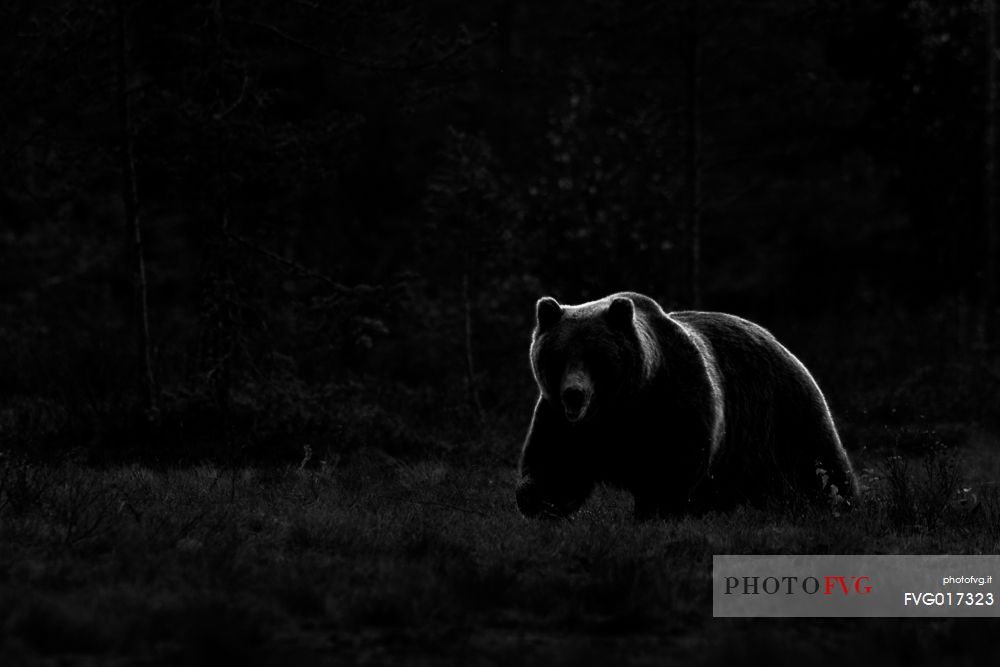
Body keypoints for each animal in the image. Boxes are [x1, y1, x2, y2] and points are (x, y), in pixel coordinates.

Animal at [516, 294, 860, 520]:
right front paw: (538, 501)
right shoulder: (563, 421)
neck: (619, 408)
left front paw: (655, 510)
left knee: (820, 466)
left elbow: (674, 461)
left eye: (596, 357)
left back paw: (842, 504)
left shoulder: (674, 396)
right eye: (558, 357)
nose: (574, 394)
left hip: (784, 413)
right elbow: (555, 464)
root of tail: (780, 343)